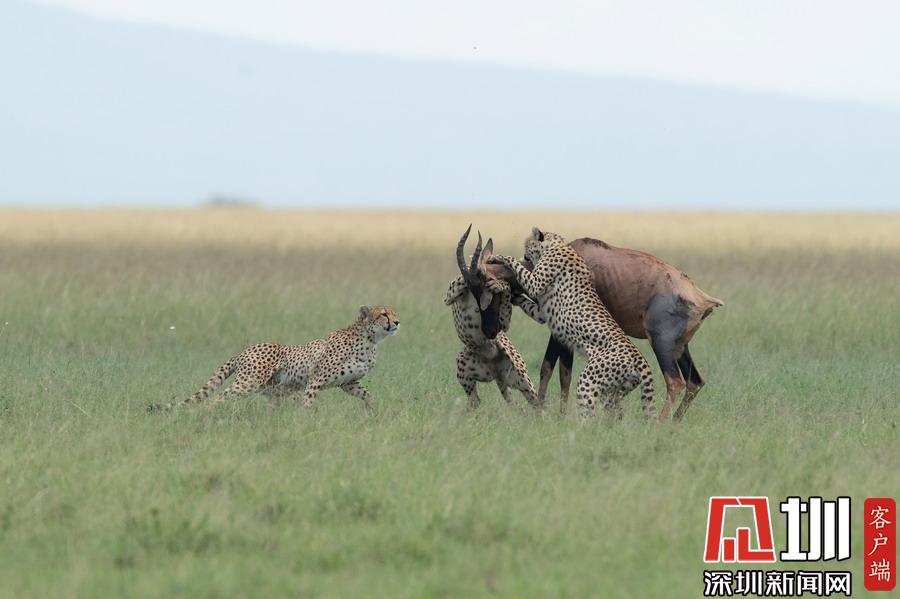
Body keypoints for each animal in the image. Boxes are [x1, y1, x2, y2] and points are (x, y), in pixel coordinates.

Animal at [149, 306, 399, 412]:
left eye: (394, 312)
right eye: (383, 314)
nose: (397, 322)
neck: (370, 340)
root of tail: (245, 350)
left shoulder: (349, 383)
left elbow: (368, 395)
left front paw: (377, 410)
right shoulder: (316, 379)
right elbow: (309, 403)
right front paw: (307, 420)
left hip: (274, 391)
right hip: (248, 383)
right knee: (219, 397)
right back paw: (207, 414)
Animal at [489, 229, 655, 418]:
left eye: (527, 245)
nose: (524, 254)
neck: (557, 244)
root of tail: (640, 358)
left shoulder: (534, 284)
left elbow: (514, 263)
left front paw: (498, 258)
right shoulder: (542, 313)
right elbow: (527, 303)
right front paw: (512, 293)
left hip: (588, 381)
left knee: (589, 415)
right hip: (613, 391)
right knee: (616, 413)